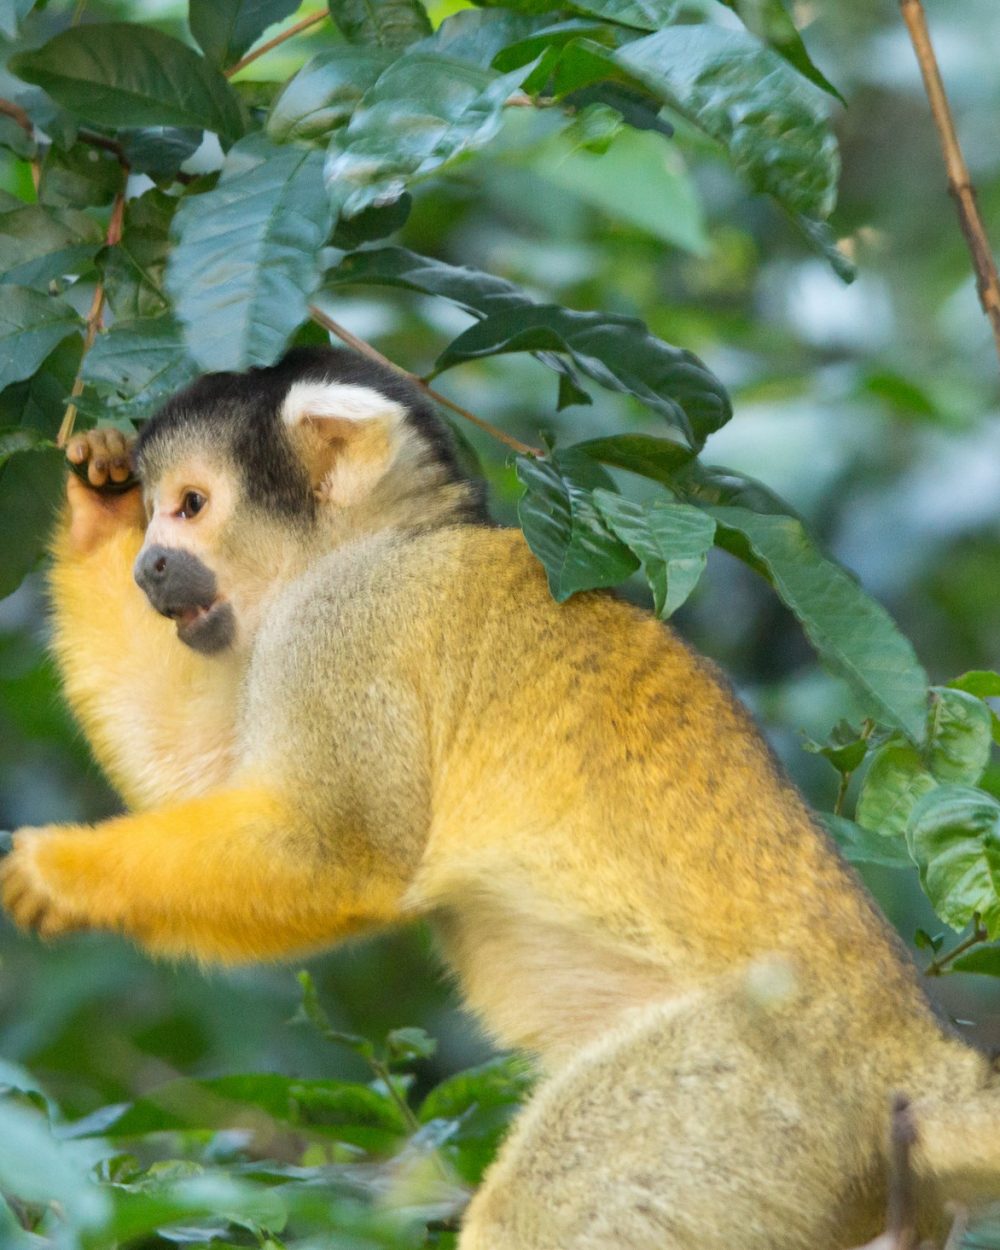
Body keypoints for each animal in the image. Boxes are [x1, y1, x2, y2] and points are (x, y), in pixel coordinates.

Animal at [3, 345, 999, 1248]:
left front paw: (61, 872)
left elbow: (337, 854)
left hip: (740, 1095)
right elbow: (199, 770)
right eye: (154, 513)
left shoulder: (347, 623)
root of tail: (909, 1051)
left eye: (192, 507)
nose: (149, 566)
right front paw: (94, 507)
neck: (393, 540)